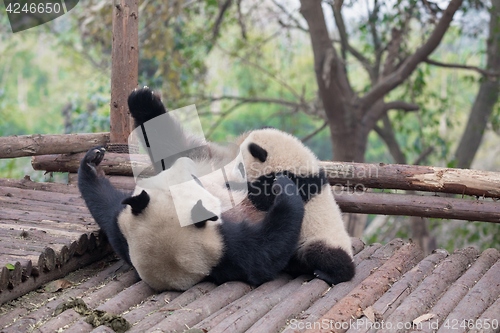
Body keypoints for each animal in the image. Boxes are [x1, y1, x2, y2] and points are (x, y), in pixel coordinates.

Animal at [78, 144, 304, 290]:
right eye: (196, 180)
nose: (184, 159)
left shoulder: (122, 229)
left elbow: (105, 205)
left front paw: (92, 161)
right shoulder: (226, 250)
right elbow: (268, 251)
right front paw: (284, 188)